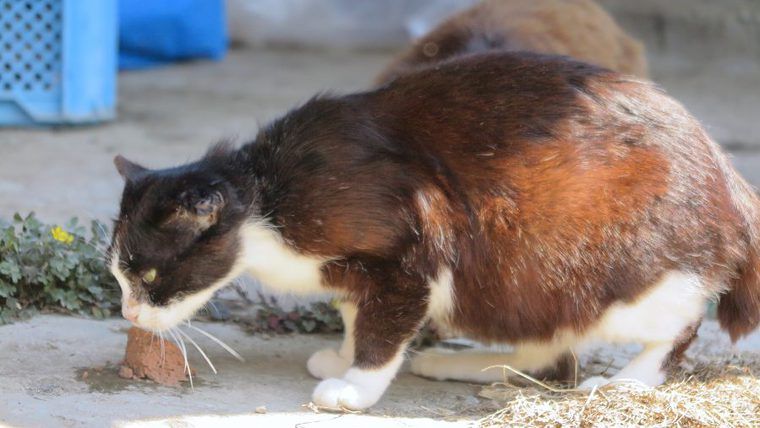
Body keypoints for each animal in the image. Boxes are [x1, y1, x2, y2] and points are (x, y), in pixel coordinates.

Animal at [108, 51, 760, 410]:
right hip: (530, 286)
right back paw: (466, 364)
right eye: (118, 275)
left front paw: (355, 387)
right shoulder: (355, 274)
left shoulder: (405, 257)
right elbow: (355, 315)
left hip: (619, 278)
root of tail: (729, 174)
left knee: (677, 325)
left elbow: (383, 329)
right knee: (551, 349)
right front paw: (341, 357)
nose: (129, 314)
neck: (270, 196)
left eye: (149, 273)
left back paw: (627, 382)